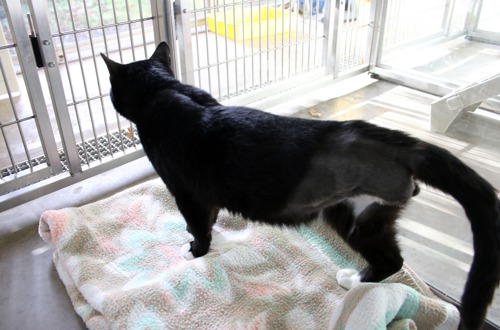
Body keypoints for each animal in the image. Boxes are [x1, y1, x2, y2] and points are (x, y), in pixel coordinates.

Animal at [99, 42, 498, 328]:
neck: (163, 91)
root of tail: (402, 143)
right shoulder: (206, 195)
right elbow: (210, 218)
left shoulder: (185, 192)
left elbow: (198, 226)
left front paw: (195, 252)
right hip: (364, 214)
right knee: (393, 259)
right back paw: (358, 283)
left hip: (355, 214)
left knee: (389, 259)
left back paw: (353, 282)